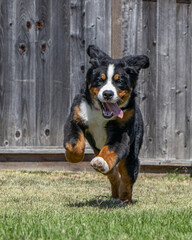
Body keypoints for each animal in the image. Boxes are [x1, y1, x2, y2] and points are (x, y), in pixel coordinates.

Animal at [63, 45, 149, 204]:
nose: (108, 93)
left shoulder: (122, 134)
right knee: (114, 175)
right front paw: (74, 157)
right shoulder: (75, 119)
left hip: (131, 157)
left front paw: (101, 161)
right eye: (100, 80)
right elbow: (73, 143)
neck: (100, 115)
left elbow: (110, 150)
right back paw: (115, 195)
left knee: (127, 179)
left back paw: (124, 200)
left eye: (119, 81)